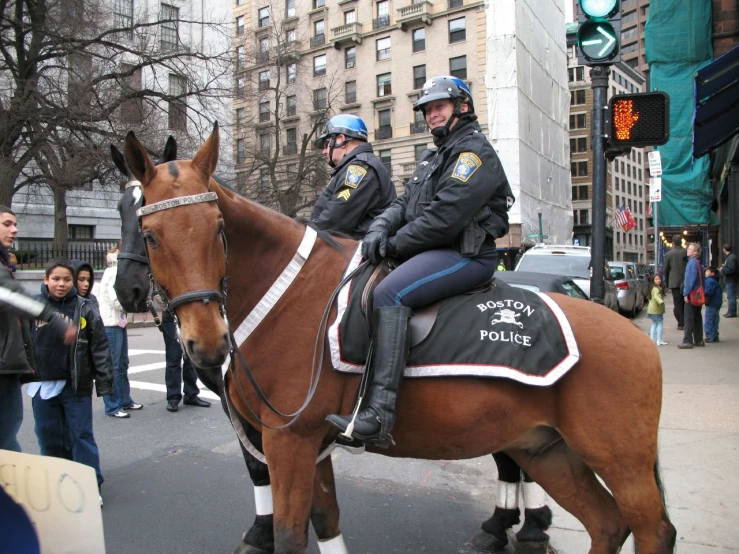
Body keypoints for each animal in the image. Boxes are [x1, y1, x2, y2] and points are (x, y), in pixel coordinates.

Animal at [123, 126, 676, 552]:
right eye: (151, 236)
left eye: (218, 227)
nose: (207, 344)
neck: (286, 293)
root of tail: (636, 339)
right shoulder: (305, 444)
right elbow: (326, 521)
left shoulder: (288, 441)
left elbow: (289, 534)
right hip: (547, 450)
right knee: (607, 525)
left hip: (621, 464)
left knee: (652, 531)